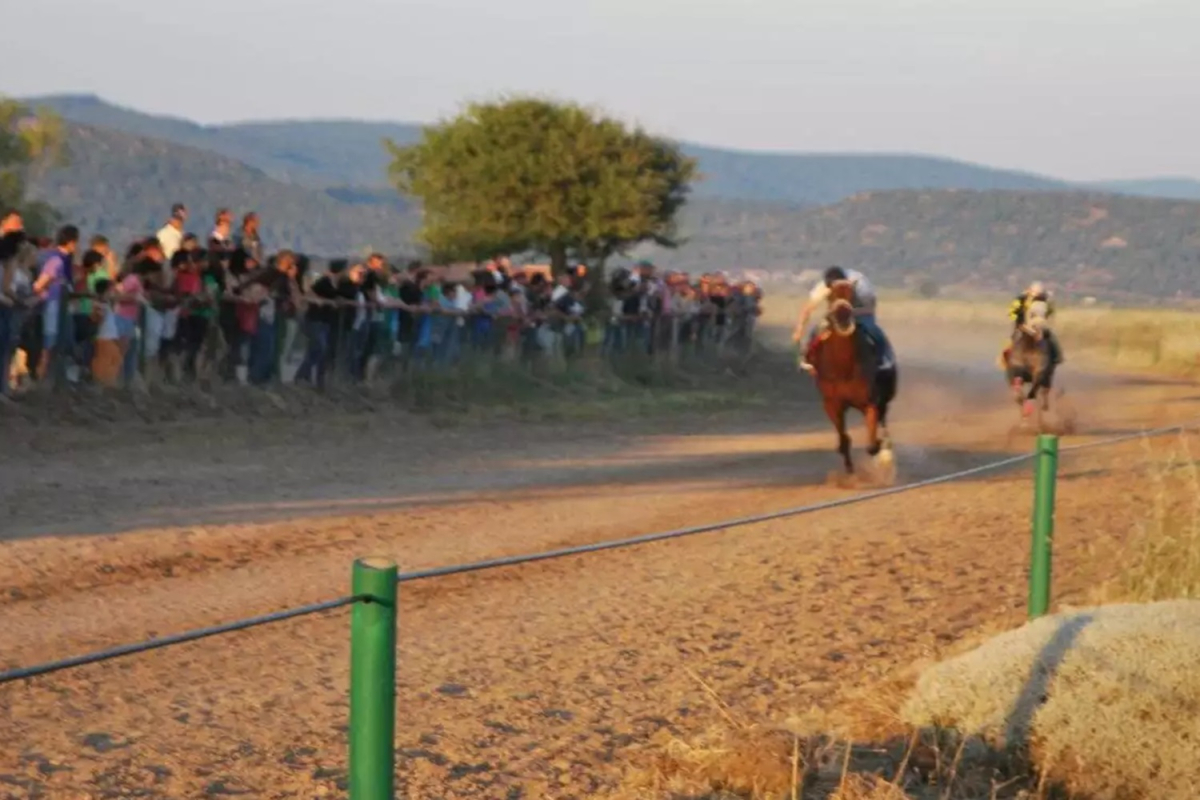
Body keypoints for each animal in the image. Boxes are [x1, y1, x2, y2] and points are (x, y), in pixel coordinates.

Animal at [801, 280, 897, 472]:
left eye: (851, 295)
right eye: (830, 295)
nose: (843, 316)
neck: (844, 367)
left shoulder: (870, 402)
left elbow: (872, 444)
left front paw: (881, 452)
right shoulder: (832, 404)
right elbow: (844, 439)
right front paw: (849, 468)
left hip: (885, 396)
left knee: (883, 420)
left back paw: (886, 452)